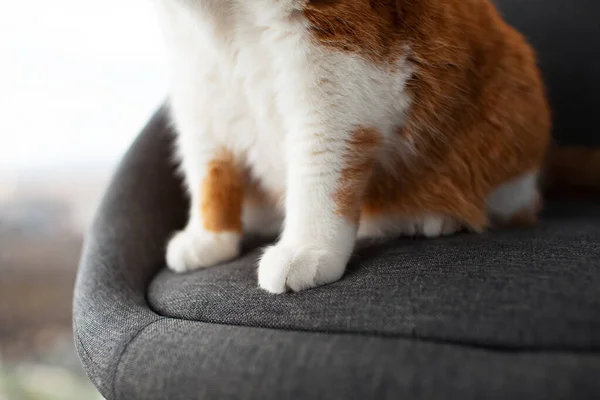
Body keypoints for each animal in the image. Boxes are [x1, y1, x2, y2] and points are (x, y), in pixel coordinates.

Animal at [156, 0, 600, 294]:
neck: (220, 19)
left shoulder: (336, 74)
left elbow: (319, 168)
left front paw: (307, 246)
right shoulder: (199, 91)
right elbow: (209, 170)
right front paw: (209, 236)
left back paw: (432, 216)